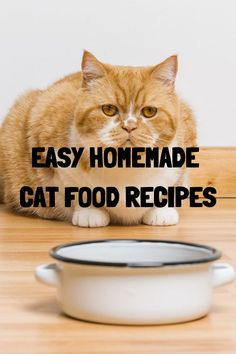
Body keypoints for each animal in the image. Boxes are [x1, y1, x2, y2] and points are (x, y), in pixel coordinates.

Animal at [0, 50, 195, 227]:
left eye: (149, 111)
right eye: (108, 109)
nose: (129, 126)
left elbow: (172, 187)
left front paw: (161, 210)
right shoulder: (41, 124)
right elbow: (75, 189)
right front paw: (90, 212)